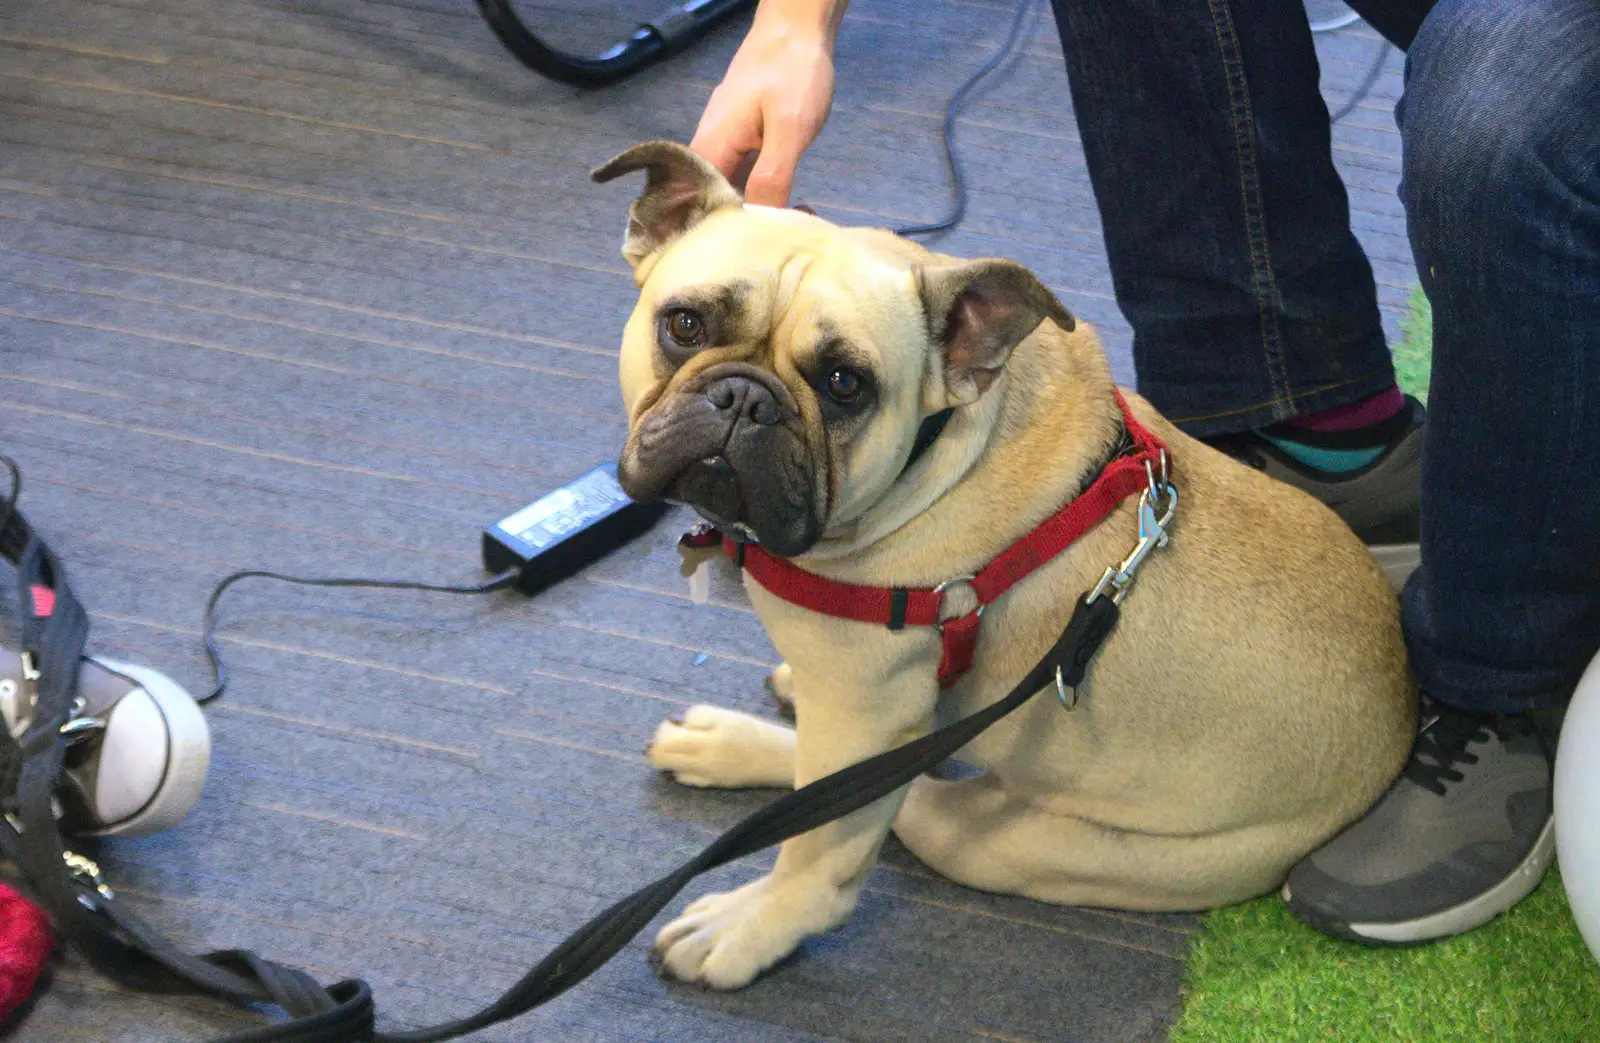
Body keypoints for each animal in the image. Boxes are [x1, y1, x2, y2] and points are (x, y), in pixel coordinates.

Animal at [595, 142, 1420, 991]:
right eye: (684, 324)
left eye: (844, 385)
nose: (744, 399)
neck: (937, 456)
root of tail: (1395, 729)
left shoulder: (867, 716)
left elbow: (818, 855)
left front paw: (752, 927)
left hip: (1006, 840)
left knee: (894, 803)